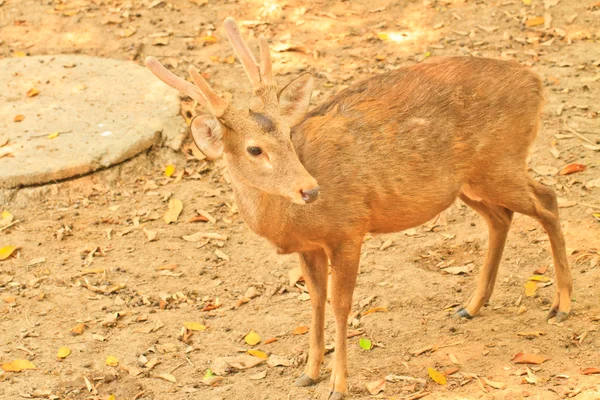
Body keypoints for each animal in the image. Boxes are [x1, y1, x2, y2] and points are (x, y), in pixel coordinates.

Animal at [143, 17, 576, 398]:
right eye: (254, 149)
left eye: (288, 135)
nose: (310, 190)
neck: (291, 222)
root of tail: (536, 83)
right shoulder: (309, 247)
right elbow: (315, 302)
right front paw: (308, 373)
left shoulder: (349, 229)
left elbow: (340, 305)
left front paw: (338, 385)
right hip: (467, 182)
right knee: (502, 217)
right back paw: (470, 306)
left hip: (501, 161)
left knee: (548, 200)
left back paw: (563, 306)